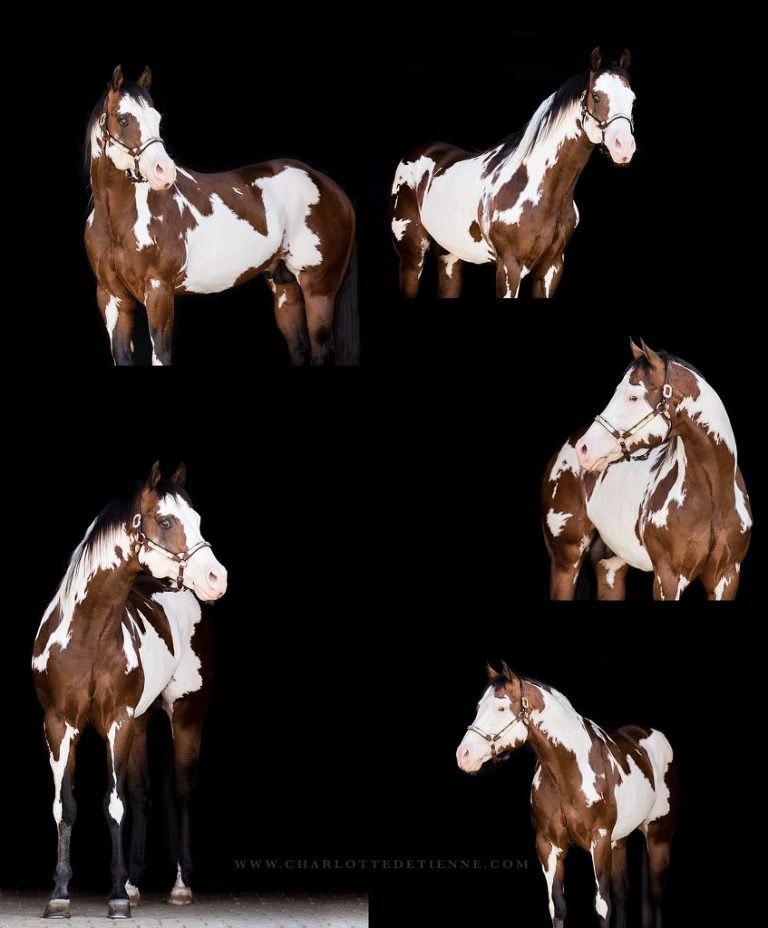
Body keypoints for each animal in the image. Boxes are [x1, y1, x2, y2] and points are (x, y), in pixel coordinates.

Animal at [32, 462, 227, 919]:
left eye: (197, 519)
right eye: (167, 521)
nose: (217, 578)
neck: (87, 635)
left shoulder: (115, 724)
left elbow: (113, 804)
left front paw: (117, 896)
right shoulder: (59, 726)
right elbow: (65, 806)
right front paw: (60, 895)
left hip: (185, 717)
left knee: (179, 792)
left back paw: (178, 887)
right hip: (139, 724)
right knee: (143, 794)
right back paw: (136, 883)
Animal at [85, 66, 358, 366]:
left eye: (157, 119)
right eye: (123, 119)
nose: (164, 172)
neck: (117, 221)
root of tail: (327, 184)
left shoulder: (159, 290)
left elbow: (161, 354)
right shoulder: (111, 297)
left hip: (318, 288)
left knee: (320, 348)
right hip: (284, 285)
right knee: (298, 347)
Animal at [390, 48, 635, 299]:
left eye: (632, 99)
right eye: (596, 96)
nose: (624, 147)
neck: (536, 185)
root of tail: (417, 152)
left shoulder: (551, 268)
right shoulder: (510, 267)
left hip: (450, 257)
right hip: (412, 257)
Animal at [457, 663, 677, 928]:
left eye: (500, 708)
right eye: (478, 707)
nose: (464, 755)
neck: (567, 771)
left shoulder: (599, 840)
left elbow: (602, 906)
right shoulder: (548, 845)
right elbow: (558, 907)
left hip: (658, 834)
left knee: (657, 895)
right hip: (619, 840)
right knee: (622, 894)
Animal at [542, 340, 752, 600]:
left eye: (632, 397)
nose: (585, 449)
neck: (713, 498)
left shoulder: (726, 577)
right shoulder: (668, 577)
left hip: (611, 566)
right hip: (566, 559)